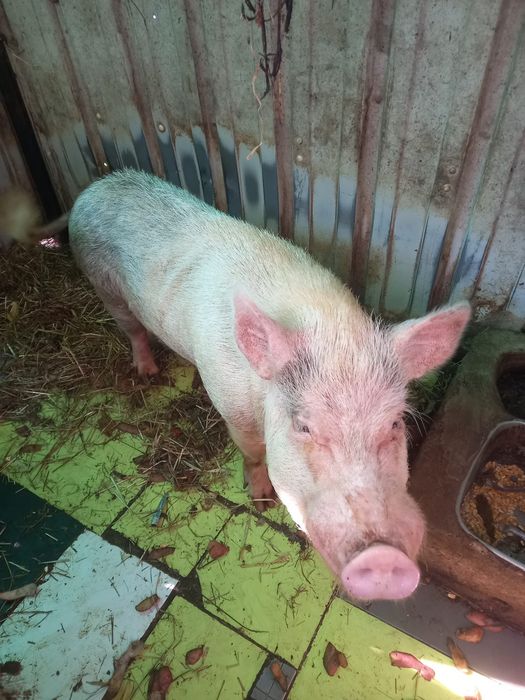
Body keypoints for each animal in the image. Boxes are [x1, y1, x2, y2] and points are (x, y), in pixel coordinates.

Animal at [20, 169, 472, 600]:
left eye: (395, 424)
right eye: (303, 426)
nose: (382, 557)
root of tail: (94, 188)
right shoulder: (230, 402)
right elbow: (253, 452)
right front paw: (261, 499)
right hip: (104, 284)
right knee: (132, 329)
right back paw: (148, 373)